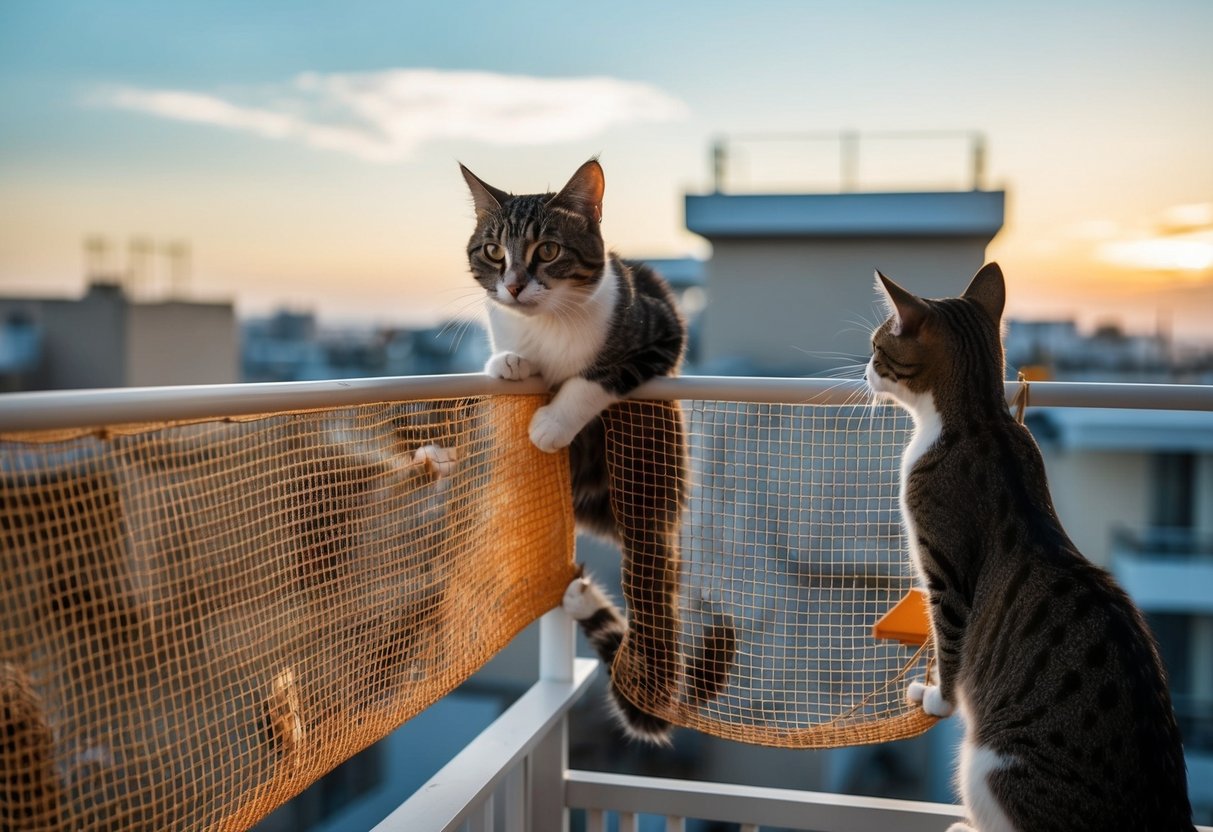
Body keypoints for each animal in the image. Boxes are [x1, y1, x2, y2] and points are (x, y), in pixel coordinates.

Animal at [458, 160, 732, 747]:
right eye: (493, 251)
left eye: (547, 250)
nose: (513, 285)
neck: (548, 322)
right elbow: (506, 359)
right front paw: (509, 362)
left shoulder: (660, 326)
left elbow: (594, 378)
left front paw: (550, 423)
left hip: (650, 484)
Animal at [863, 261, 1193, 832]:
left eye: (877, 346)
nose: (865, 370)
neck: (980, 419)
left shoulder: (945, 574)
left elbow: (949, 645)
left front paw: (934, 699)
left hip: (989, 764)